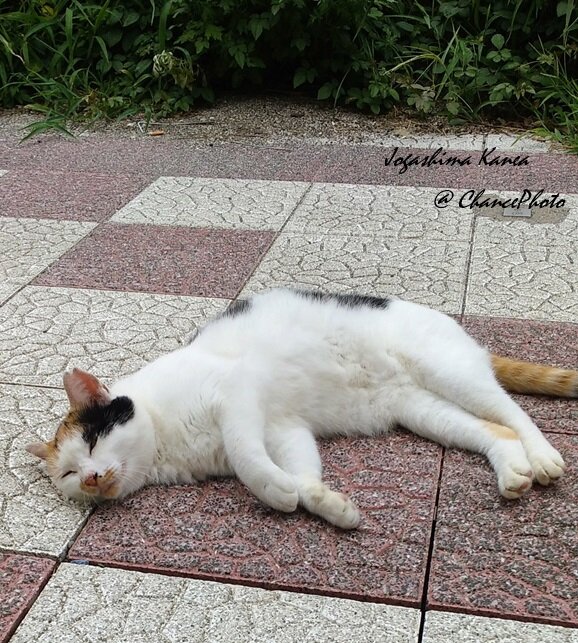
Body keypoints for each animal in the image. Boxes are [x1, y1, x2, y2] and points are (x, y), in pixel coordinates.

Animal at [26, 288, 576, 529]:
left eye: (93, 440)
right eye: (69, 474)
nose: (92, 478)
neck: (166, 439)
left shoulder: (237, 396)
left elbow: (247, 458)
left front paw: (273, 490)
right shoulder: (284, 428)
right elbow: (304, 475)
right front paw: (327, 504)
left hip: (447, 370)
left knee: (514, 414)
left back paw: (544, 457)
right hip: (424, 410)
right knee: (494, 431)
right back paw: (514, 472)